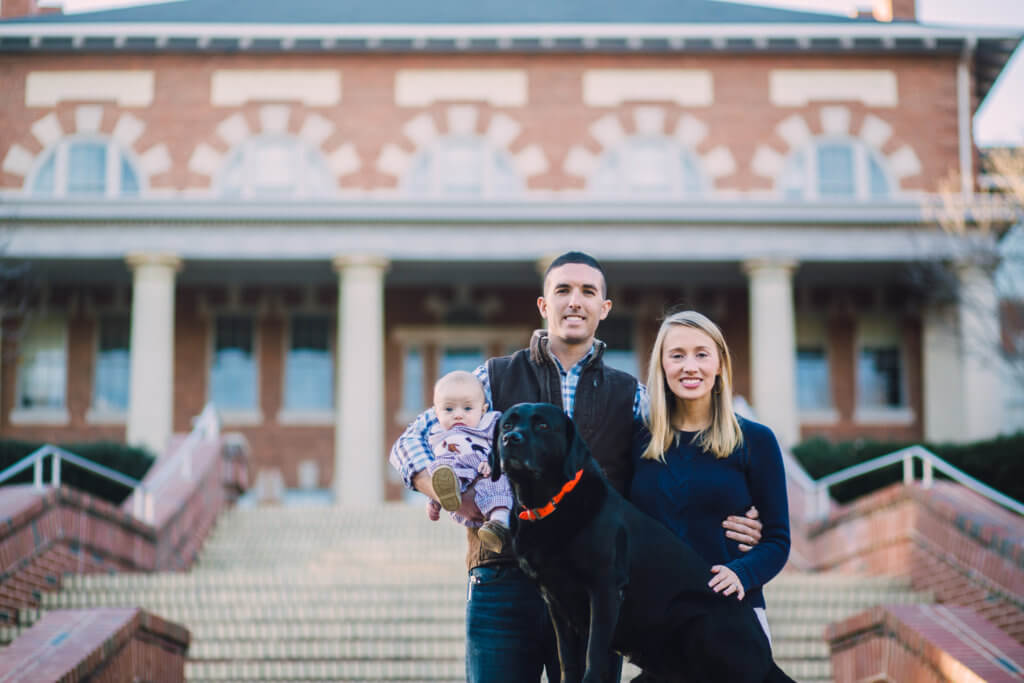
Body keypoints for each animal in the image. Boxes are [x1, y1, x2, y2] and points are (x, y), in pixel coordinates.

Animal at [491, 403, 794, 679]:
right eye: (507, 425)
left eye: (542, 425)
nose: (511, 439)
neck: (549, 504)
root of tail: (768, 660)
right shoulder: (555, 600)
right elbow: (568, 661)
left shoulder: (604, 589)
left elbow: (594, 656)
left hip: (693, 615)